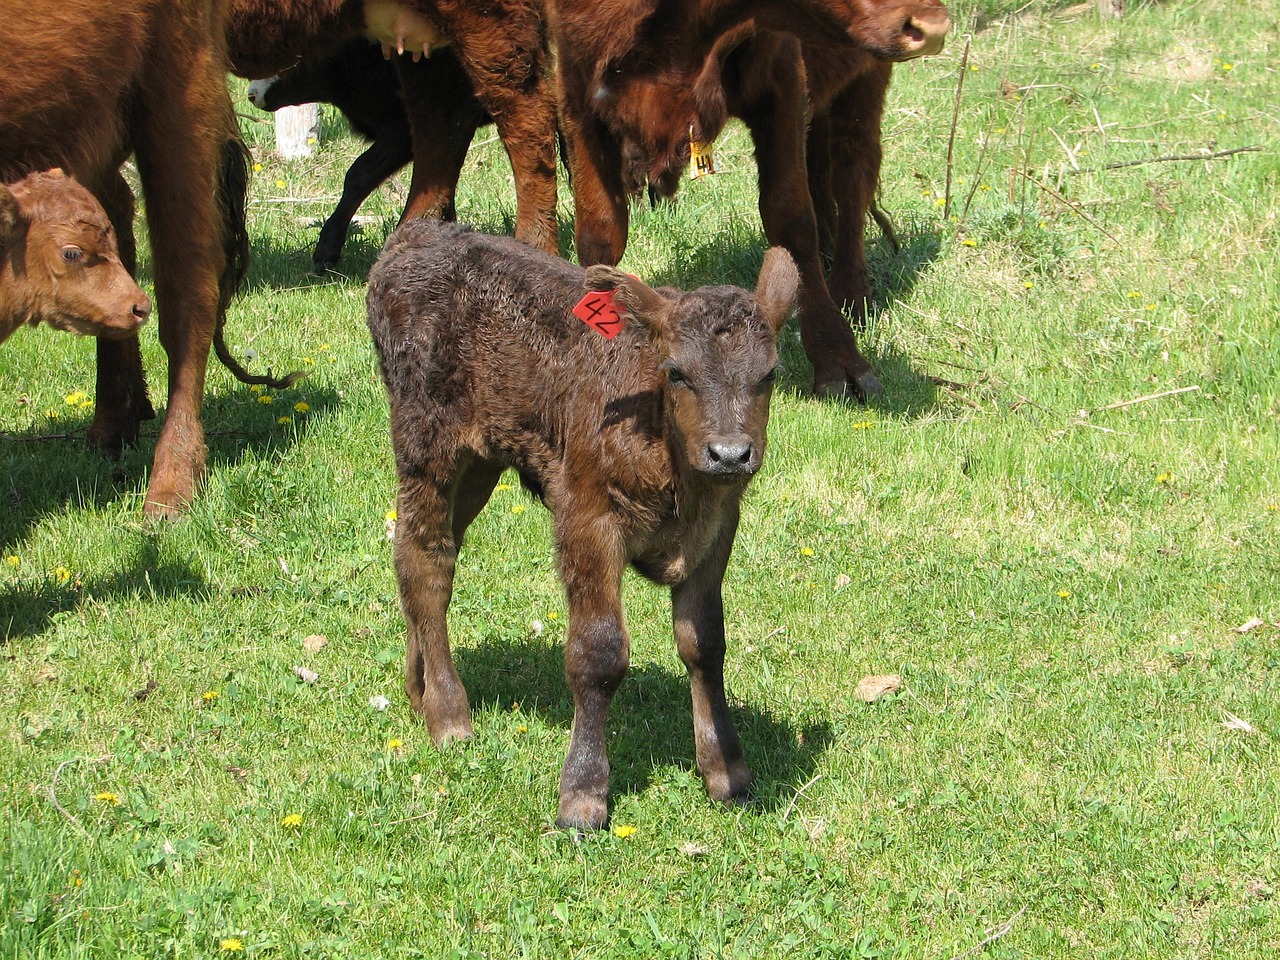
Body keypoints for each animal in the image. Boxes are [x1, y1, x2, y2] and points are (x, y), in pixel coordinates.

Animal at [227, 0, 558, 256]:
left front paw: (327, 247)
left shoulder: (403, 131)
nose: (252, 94)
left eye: (295, 60)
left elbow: (360, 173)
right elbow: (442, 172)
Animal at [366, 220, 793, 834]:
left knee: (419, 552)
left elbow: (704, 641)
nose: (730, 454)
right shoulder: (587, 518)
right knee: (426, 562)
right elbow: (598, 653)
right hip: (427, 442)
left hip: (480, 461)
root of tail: (417, 234)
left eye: (770, 374)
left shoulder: (718, 526)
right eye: (677, 372)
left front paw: (726, 771)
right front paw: (583, 795)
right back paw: (449, 714)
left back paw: (417, 687)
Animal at [545, 0, 947, 399]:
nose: (934, 27)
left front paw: (839, 359)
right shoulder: (577, 92)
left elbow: (790, 218)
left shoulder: (783, 80)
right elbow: (601, 230)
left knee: (853, 172)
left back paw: (851, 294)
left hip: (865, 81)